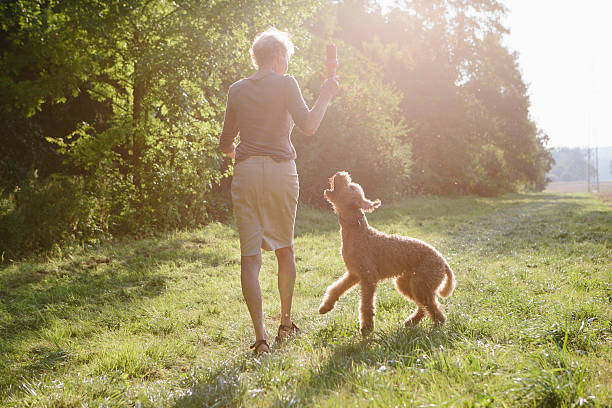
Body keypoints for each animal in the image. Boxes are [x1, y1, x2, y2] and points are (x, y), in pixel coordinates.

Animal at [320, 172, 454, 334]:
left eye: (351, 187)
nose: (341, 174)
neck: (358, 231)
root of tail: (443, 263)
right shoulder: (354, 274)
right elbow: (335, 289)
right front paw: (325, 307)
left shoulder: (368, 277)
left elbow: (366, 305)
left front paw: (367, 328)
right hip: (408, 283)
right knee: (424, 307)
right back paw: (411, 322)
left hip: (421, 284)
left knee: (433, 308)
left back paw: (436, 327)